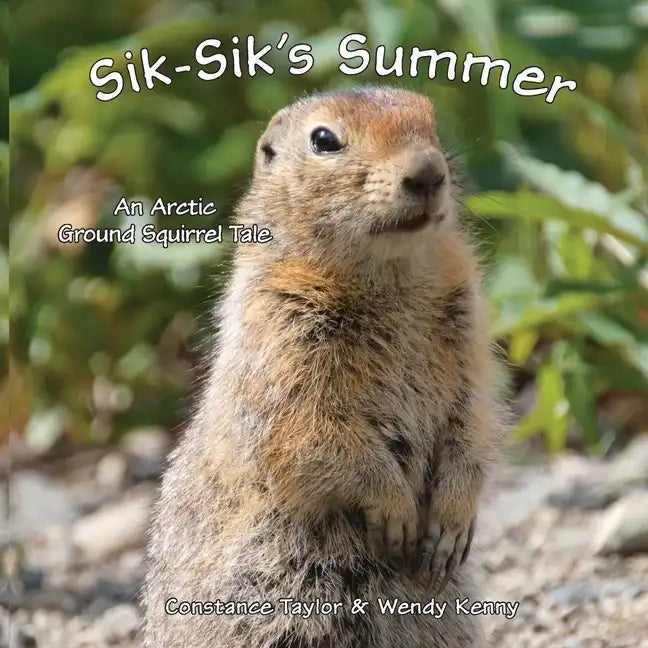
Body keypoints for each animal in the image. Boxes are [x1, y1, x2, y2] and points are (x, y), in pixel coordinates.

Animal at [143, 85, 505, 648]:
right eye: (324, 140)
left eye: (431, 121)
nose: (428, 171)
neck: (389, 274)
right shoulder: (281, 331)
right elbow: (312, 433)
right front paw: (396, 510)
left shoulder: (467, 334)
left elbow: (473, 421)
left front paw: (452, 520)